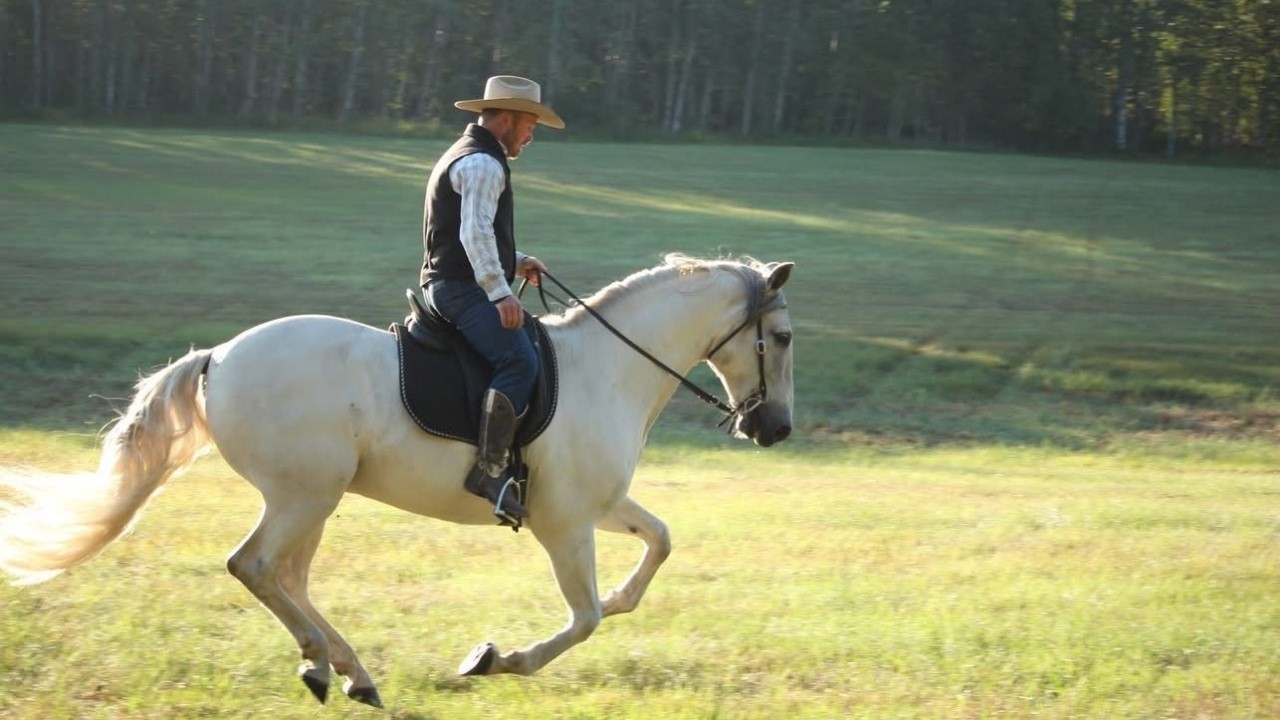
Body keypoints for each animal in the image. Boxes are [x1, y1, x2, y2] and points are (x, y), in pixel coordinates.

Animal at [0, 254, 795, 708]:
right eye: (783, 338)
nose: (775, 430)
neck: (607, 370)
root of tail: (218, 357)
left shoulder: (599, 506)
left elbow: (656, 547)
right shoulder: (564, 525)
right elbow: (586, 616)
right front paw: (495, 660)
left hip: (313, 500)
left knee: (288, 577)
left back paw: (344, 670)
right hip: (304, 495)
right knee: (254, 566)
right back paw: (330, 666)